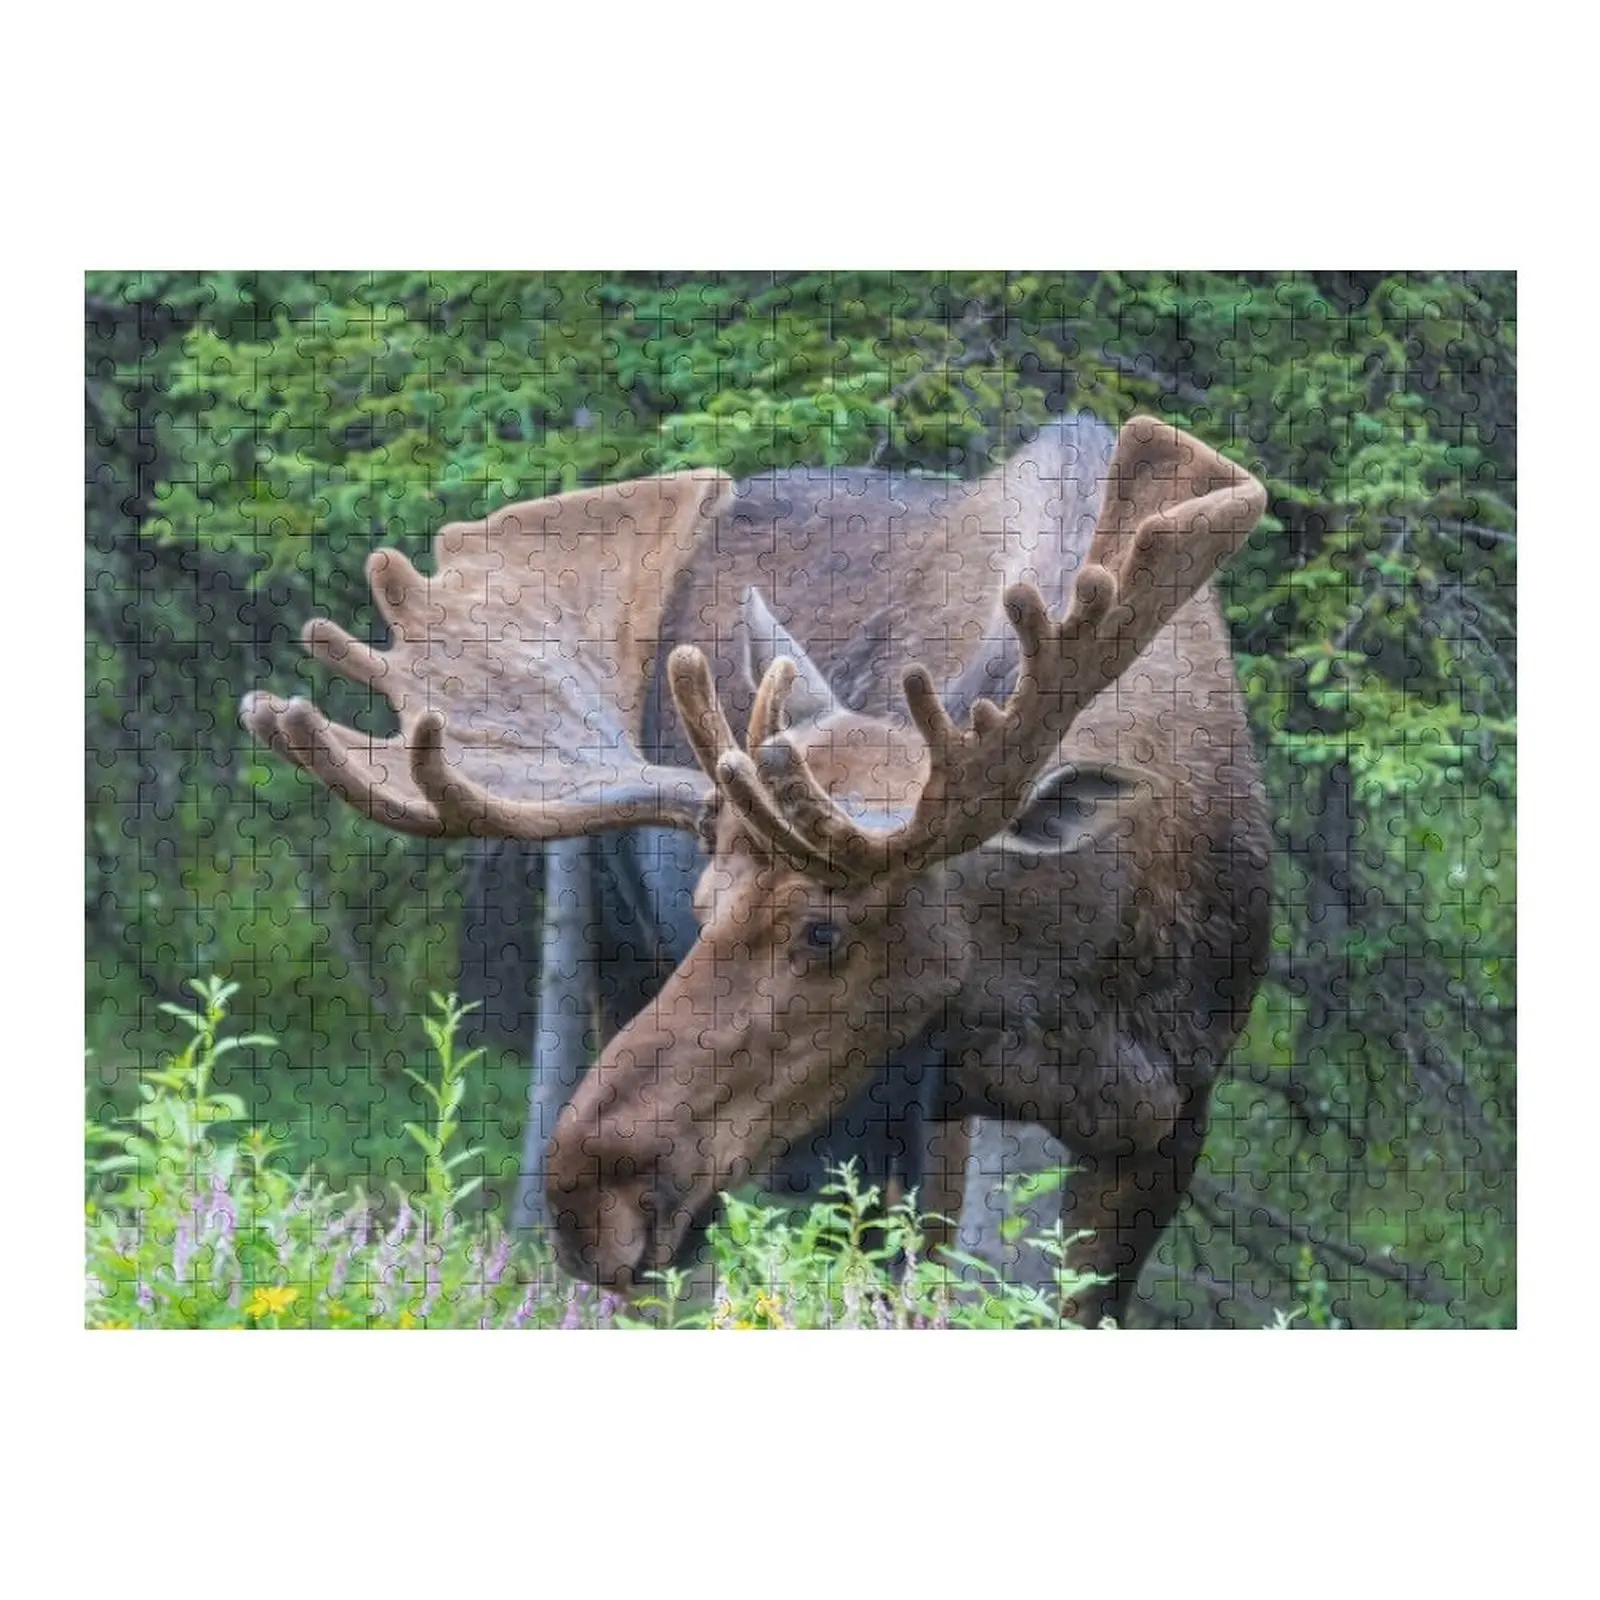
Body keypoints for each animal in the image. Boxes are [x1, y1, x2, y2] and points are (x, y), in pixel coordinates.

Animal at [242, 413, 1271, 1325]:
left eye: (825, 929)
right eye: (706, 902)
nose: (585, 1194)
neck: (1085, 983)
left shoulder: (1174, 1115)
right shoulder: (903, 1108)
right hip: (621, 959)